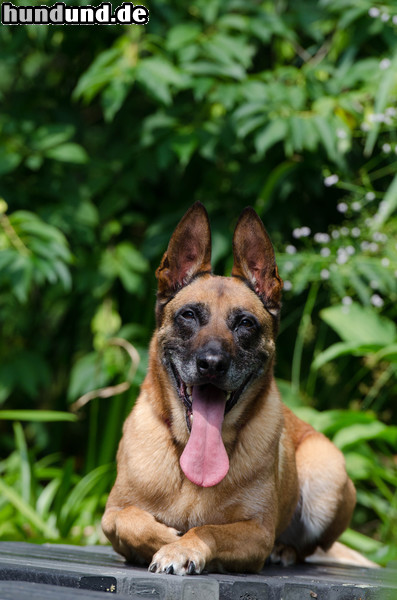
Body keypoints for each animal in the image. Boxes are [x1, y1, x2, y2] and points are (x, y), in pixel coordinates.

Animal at [101, 203, 368, 576]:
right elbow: (130, 520)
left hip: (325, 473)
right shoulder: (111, 514)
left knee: (309, 546)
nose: (212, 364)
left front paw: (182, 547)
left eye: (245, 323)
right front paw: (167, 538)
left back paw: (285, 550)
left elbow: (209, 530)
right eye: (188, 315)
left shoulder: (256, 533)